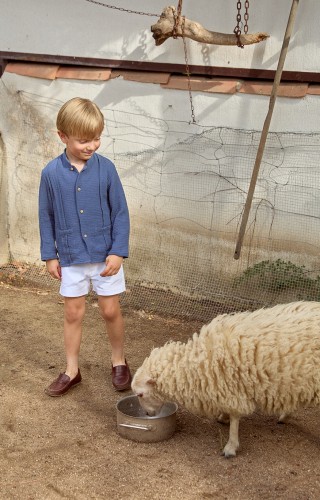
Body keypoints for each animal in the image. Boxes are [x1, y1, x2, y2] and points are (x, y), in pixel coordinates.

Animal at [131, 300, 320, 458]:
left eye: (140, 394)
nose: (148, 415)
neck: (197, 362)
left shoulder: (233, 387)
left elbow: (235, 418)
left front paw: (230, 446)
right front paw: (223, 417)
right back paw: (285, 416)